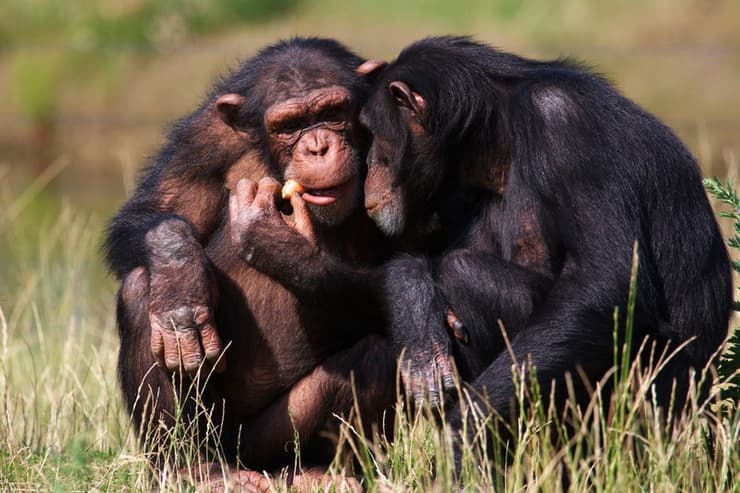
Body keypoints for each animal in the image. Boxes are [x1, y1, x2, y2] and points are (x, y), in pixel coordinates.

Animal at [104, 38, 398, 488]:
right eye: (290, 125)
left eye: (333, 113)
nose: (318, 146)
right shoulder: (203, 138)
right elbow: (155, 212)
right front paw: (179, 279)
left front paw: (279, 243)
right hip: (219, 436)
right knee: (140, 291)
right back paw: (194, 471)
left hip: (266, 443)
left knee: (377, 357)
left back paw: (320, 474)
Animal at [360, 37, 736, 430]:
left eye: (372, 133)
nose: (368, 162)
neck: (496, 134)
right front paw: (415, 311)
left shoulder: (563, 125)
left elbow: (602, 284)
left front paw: (464, 428)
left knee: (463, 272)